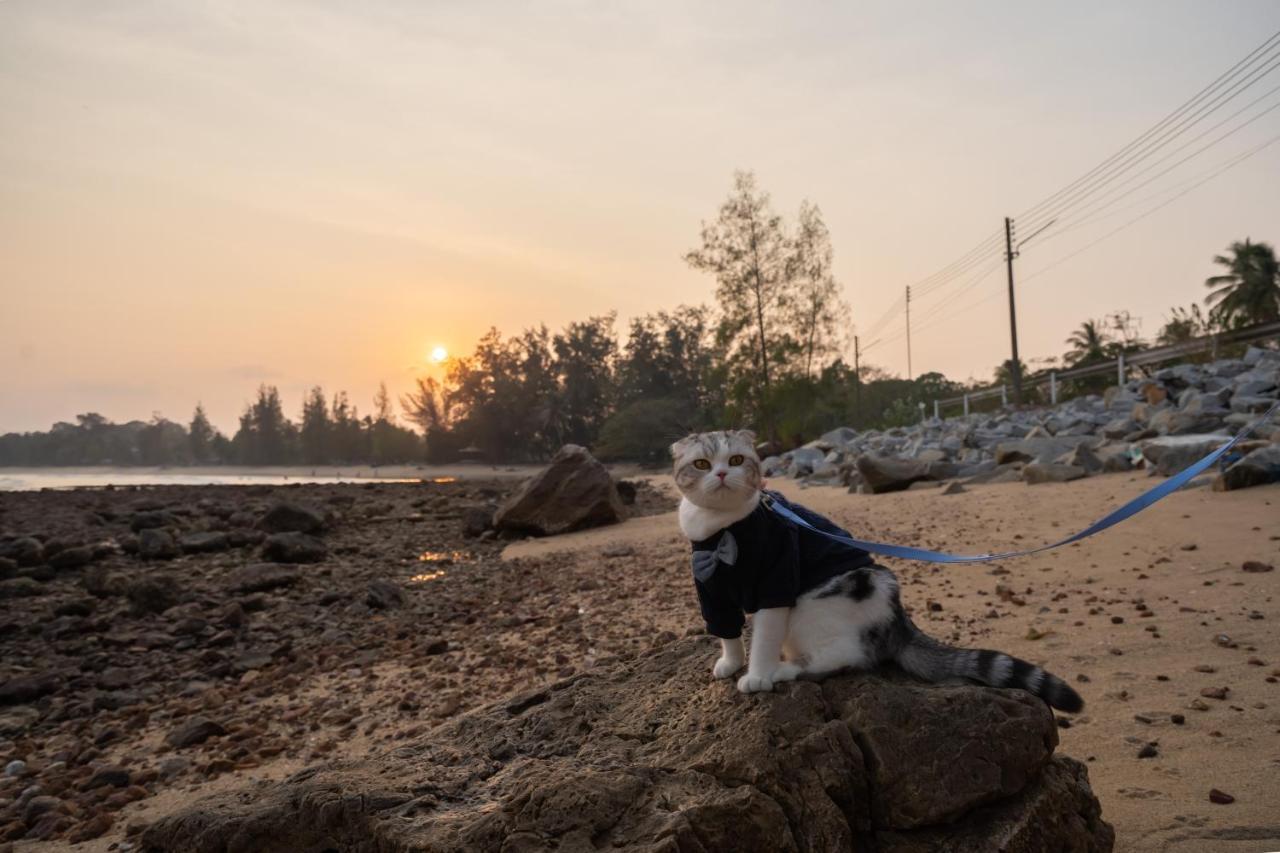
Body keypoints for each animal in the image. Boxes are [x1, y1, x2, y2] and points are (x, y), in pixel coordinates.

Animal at [670, 425, 1080, 712]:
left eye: (737, 461)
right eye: (702, 464)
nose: (721, 475)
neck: (722, 529)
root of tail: (900, 622)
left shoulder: (778, 582)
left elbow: (765, 638)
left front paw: (757, 675)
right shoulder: (711, 589)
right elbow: (726, 630)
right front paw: (731, 662)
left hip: (819, 604)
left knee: (849, 656)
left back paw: (788, 669)